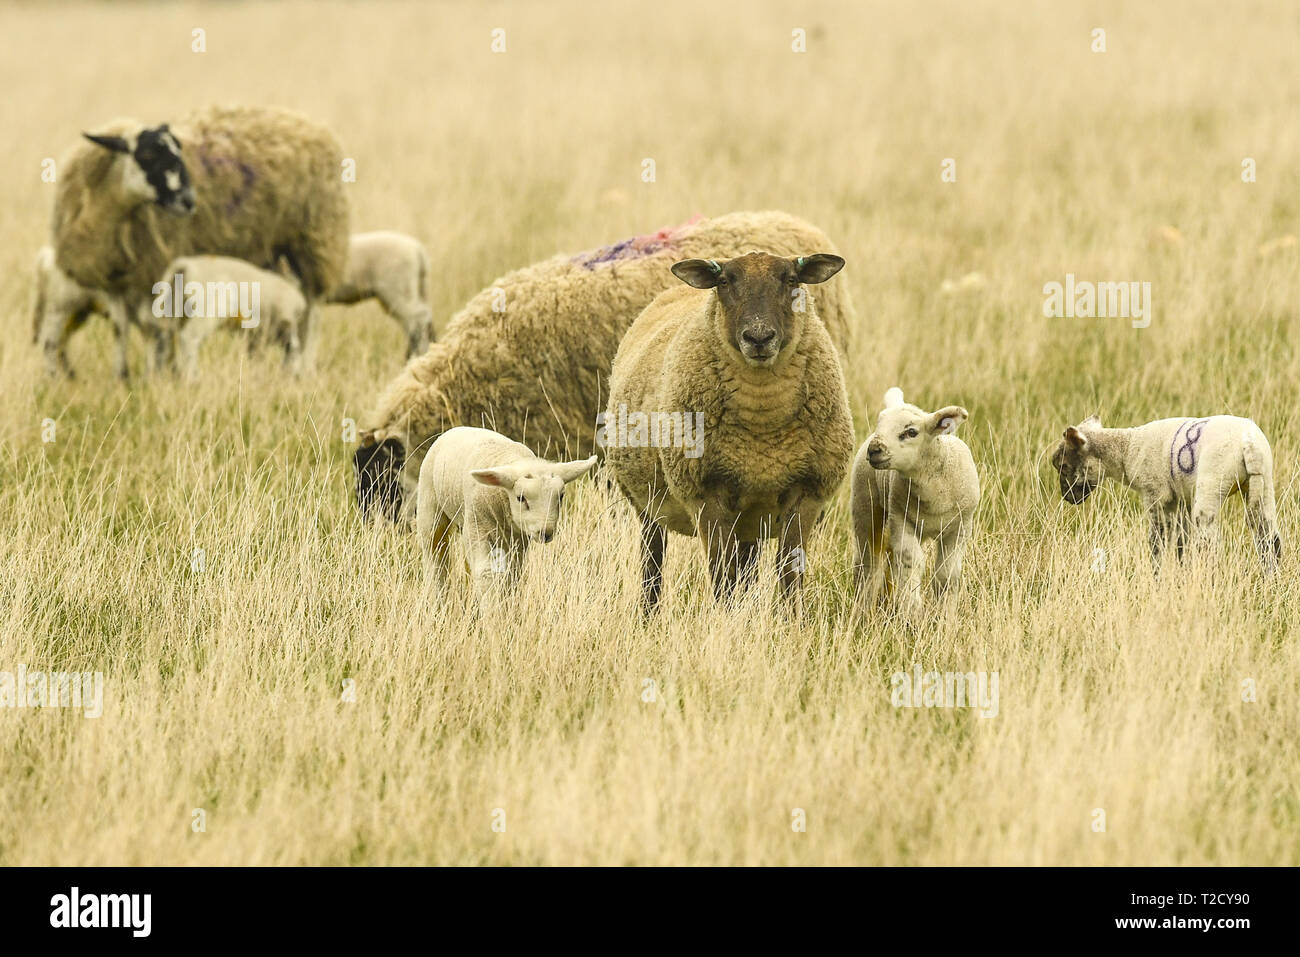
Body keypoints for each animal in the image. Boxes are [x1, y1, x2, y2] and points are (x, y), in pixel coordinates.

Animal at [29, 243, 122, 377]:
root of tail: (45, 255)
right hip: (60, 306)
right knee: (49, 342)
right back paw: (55, 378)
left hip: (77, 311)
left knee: (61, 341)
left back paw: (71, 376)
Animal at [153, 257, 308, 384]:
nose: (297, 377)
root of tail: (185, 264)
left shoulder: (257, 334)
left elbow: (255, 356)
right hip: (207, 313)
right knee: (188, 338)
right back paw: (191, 379)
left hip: (174, 310)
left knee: (164, 339)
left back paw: (162, 376)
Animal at [605, 252, 857, 613]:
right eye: (724, 281)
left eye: (791, 279)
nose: (759, 337)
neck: (763, 425)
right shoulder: (706, 493)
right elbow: (722, 575)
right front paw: (725, 619)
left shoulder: (808, 492)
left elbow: (790, 573)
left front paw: (791, 621)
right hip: (648, 505)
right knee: (652, 564)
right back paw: (647, 616)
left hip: (751, 518)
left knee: (747, 571)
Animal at [1045, 410, 1279, 566]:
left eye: (1063, 466)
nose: (1067, 497)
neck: (1126, 449)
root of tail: (1249, 444)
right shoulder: (1181, 499)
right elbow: (1182, 542)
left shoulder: (1156, 495)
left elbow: (1158, 542)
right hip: (1264, 482)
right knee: (1269, 538)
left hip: (1212, 482)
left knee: (1209, 544)